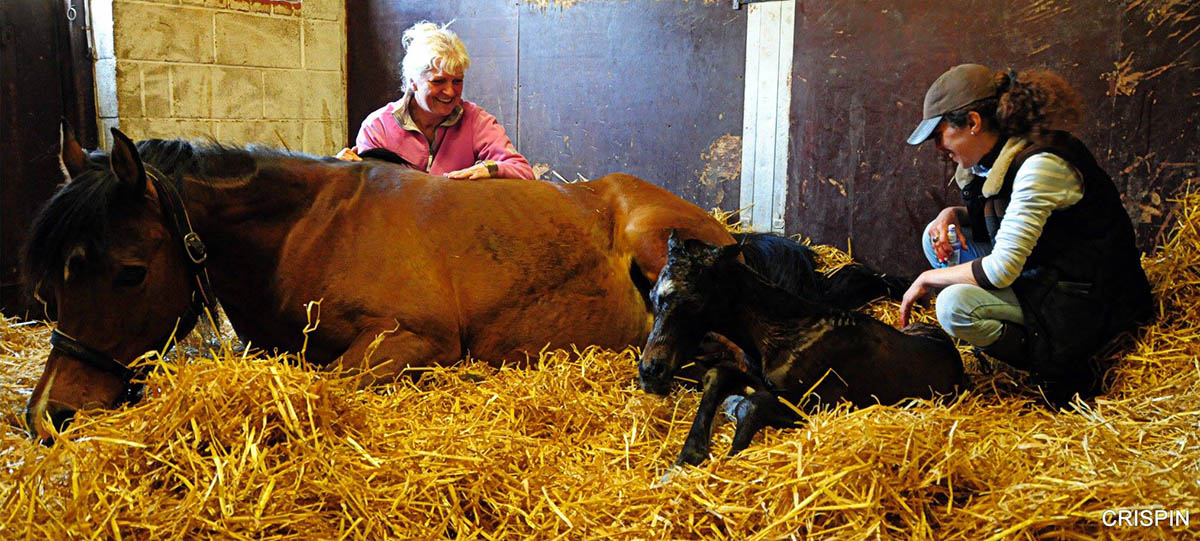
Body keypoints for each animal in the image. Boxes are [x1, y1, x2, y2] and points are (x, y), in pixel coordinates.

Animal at [21, 127, 740, 440]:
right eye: (49, 287)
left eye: (131, 272)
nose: (49, 415)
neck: (313, 229)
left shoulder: (416, 339)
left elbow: (337, 378)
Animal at [638, 233, 963, 466]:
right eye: (652, 295)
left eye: (694, 302)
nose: (651, 370)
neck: (786, 331)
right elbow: (720, 376)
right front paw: (687, 457)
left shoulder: (819, 405)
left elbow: (750, 404)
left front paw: (731, 454)